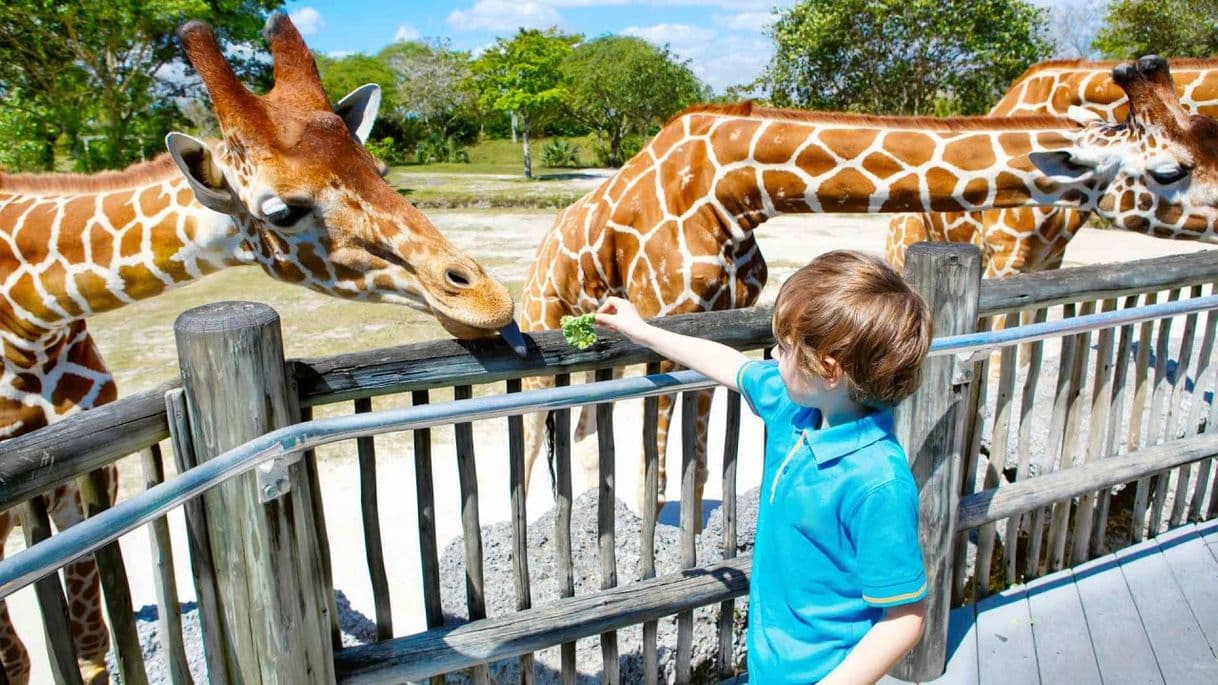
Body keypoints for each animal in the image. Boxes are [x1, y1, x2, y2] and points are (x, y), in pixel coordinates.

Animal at [0, 12, 518, 682]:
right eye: (284, 210)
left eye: (379, 171)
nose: (488, 299)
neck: (32, 315)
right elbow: (24, 654)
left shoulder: (88, 476)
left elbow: (89, 647)